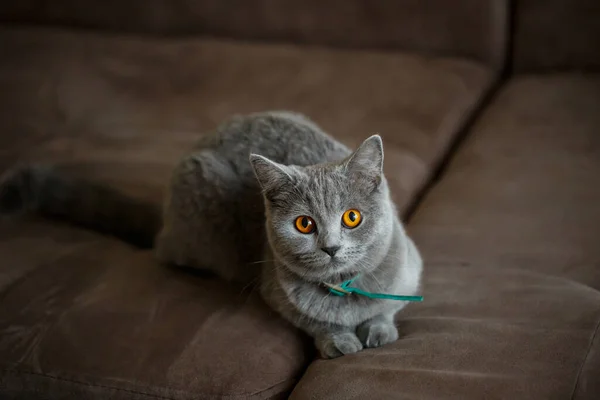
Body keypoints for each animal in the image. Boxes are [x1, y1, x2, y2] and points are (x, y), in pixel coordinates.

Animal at [0, 111, 422, 358]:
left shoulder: (410, 268)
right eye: (305, 224)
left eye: (352, 218)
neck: (346, 290)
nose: (331, 247)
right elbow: (313, 321)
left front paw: (379, 330)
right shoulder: (275, 290)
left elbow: (388, 308)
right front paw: (339, 340)